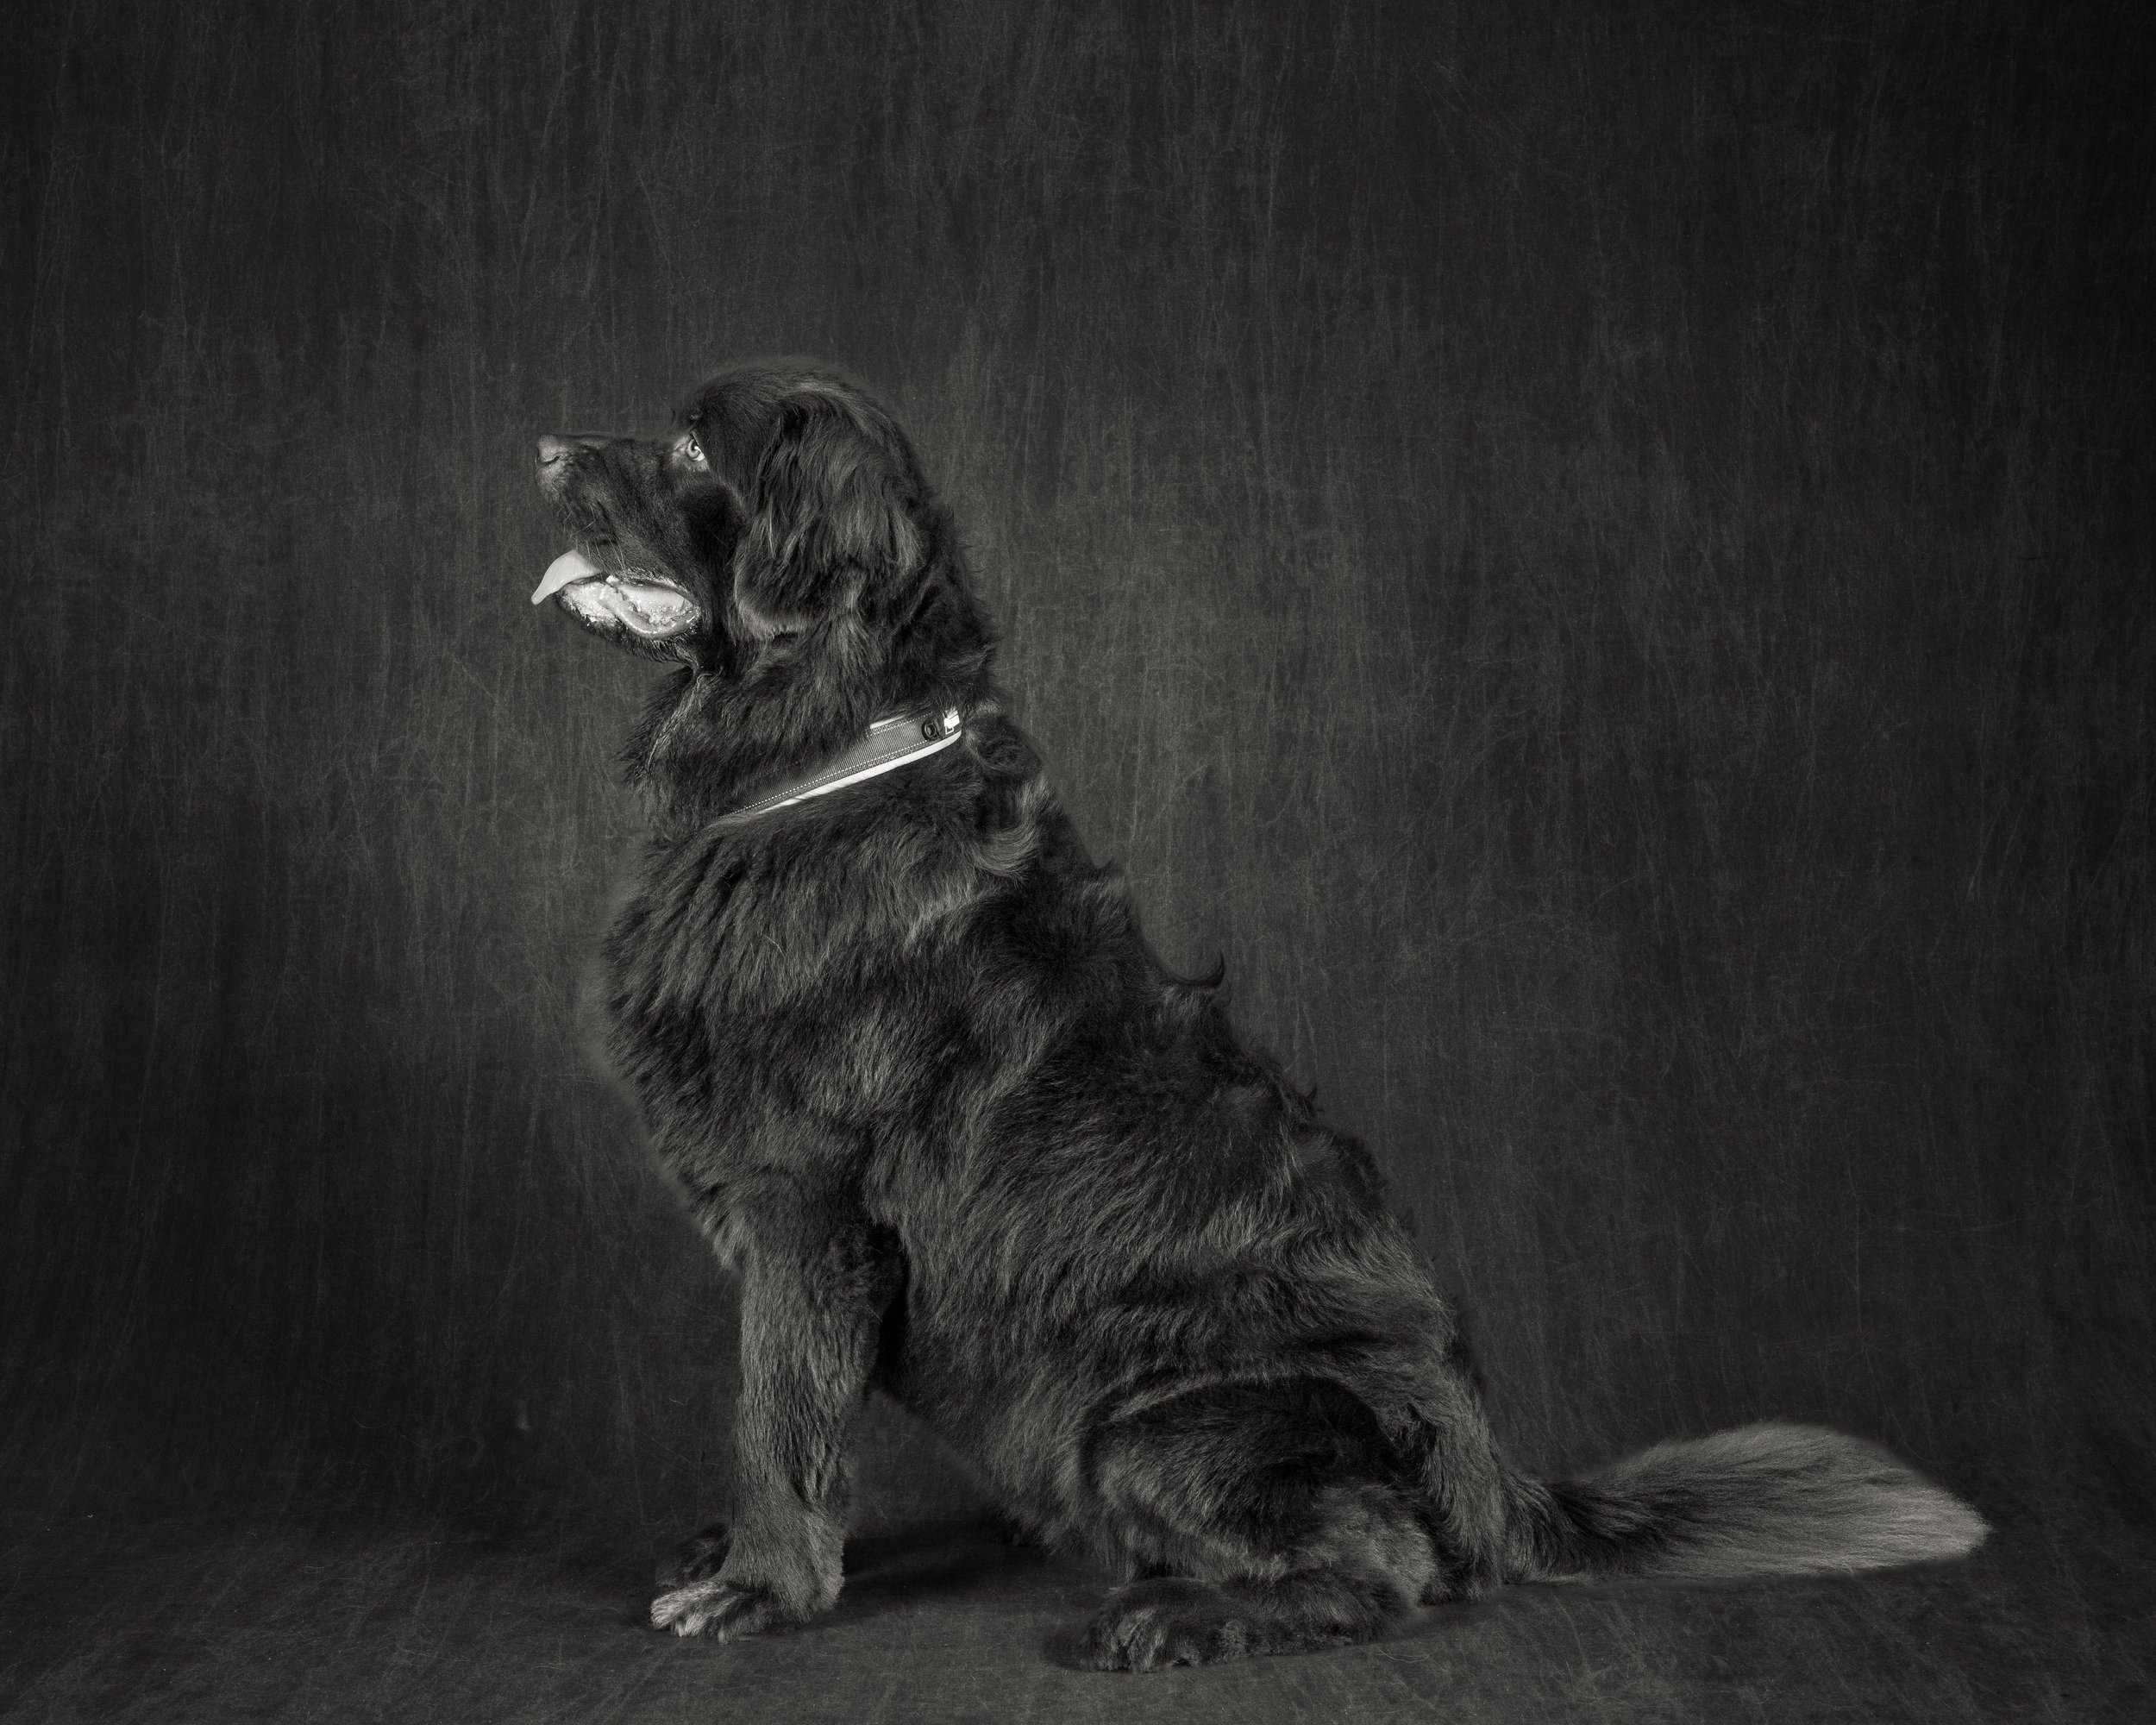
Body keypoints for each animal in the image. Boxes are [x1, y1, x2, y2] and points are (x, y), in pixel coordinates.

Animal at [529, 359, 1986, 1670]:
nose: (543, 447)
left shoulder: (807, 1201)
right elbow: (800, 1418)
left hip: (1156, 1418)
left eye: (691, 448)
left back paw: (1167, 1620)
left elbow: (777, 1412)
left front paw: (760, 1585)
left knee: (1387, 1565)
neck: (825, 756)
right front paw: (744, 1557)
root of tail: (1496, 1469)